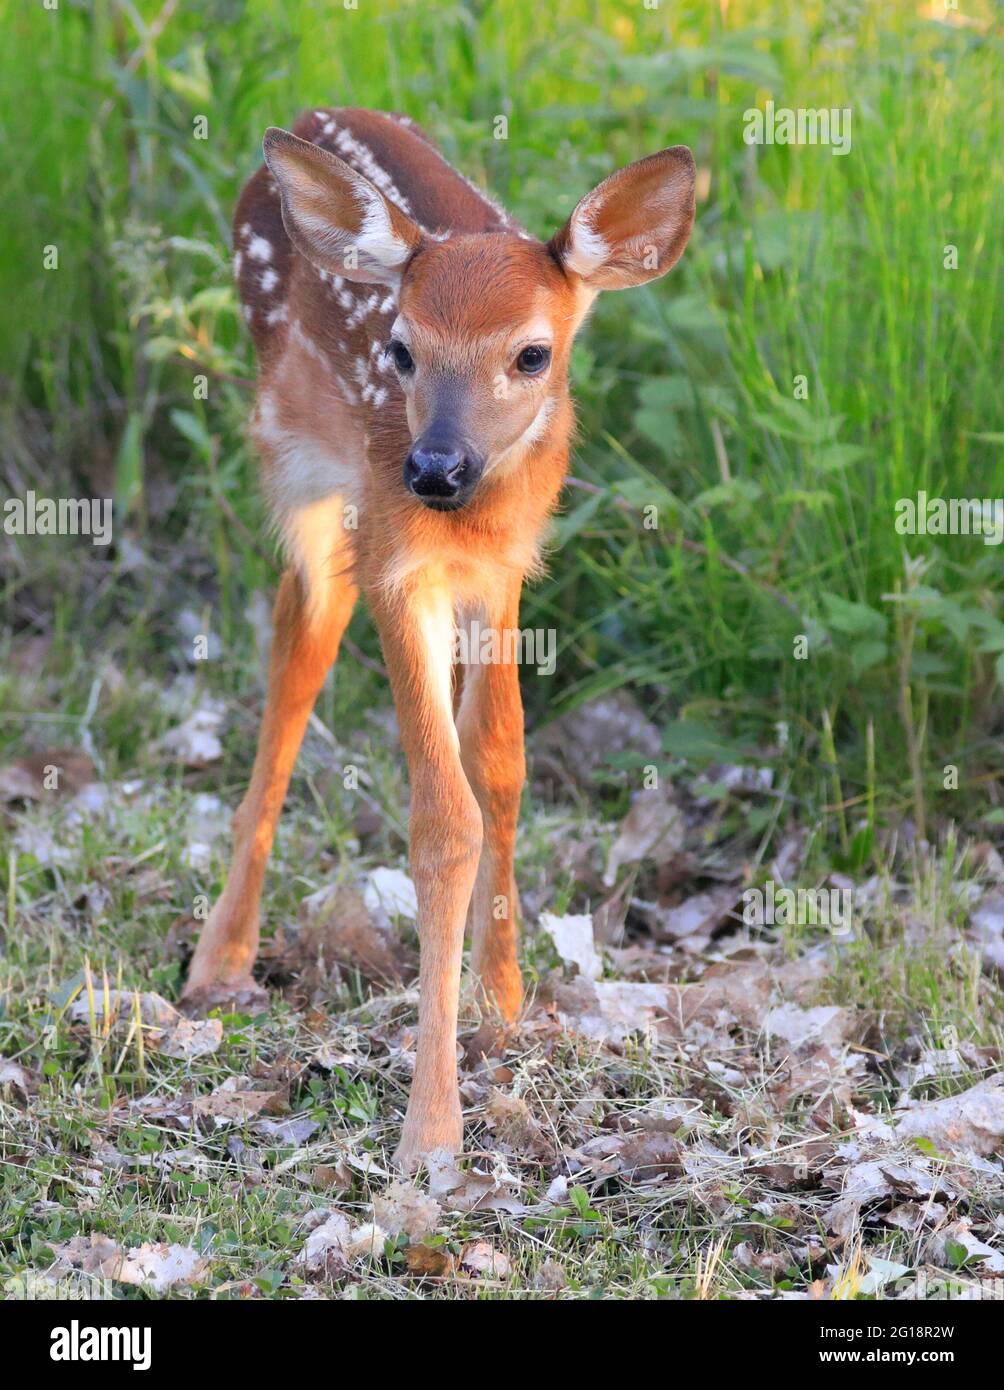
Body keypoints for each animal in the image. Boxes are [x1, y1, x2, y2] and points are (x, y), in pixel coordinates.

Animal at [183, 108, 692, 1167]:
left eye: (533, 354)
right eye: (402, 350)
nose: (435, 468)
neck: (471, 518)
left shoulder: (502, 574)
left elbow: (498, 761)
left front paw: (505, 1001)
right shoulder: (396, 563)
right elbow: (442, 818)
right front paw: (430, 1132)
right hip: (302, 464)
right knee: (298, 641)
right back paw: (220, 959)